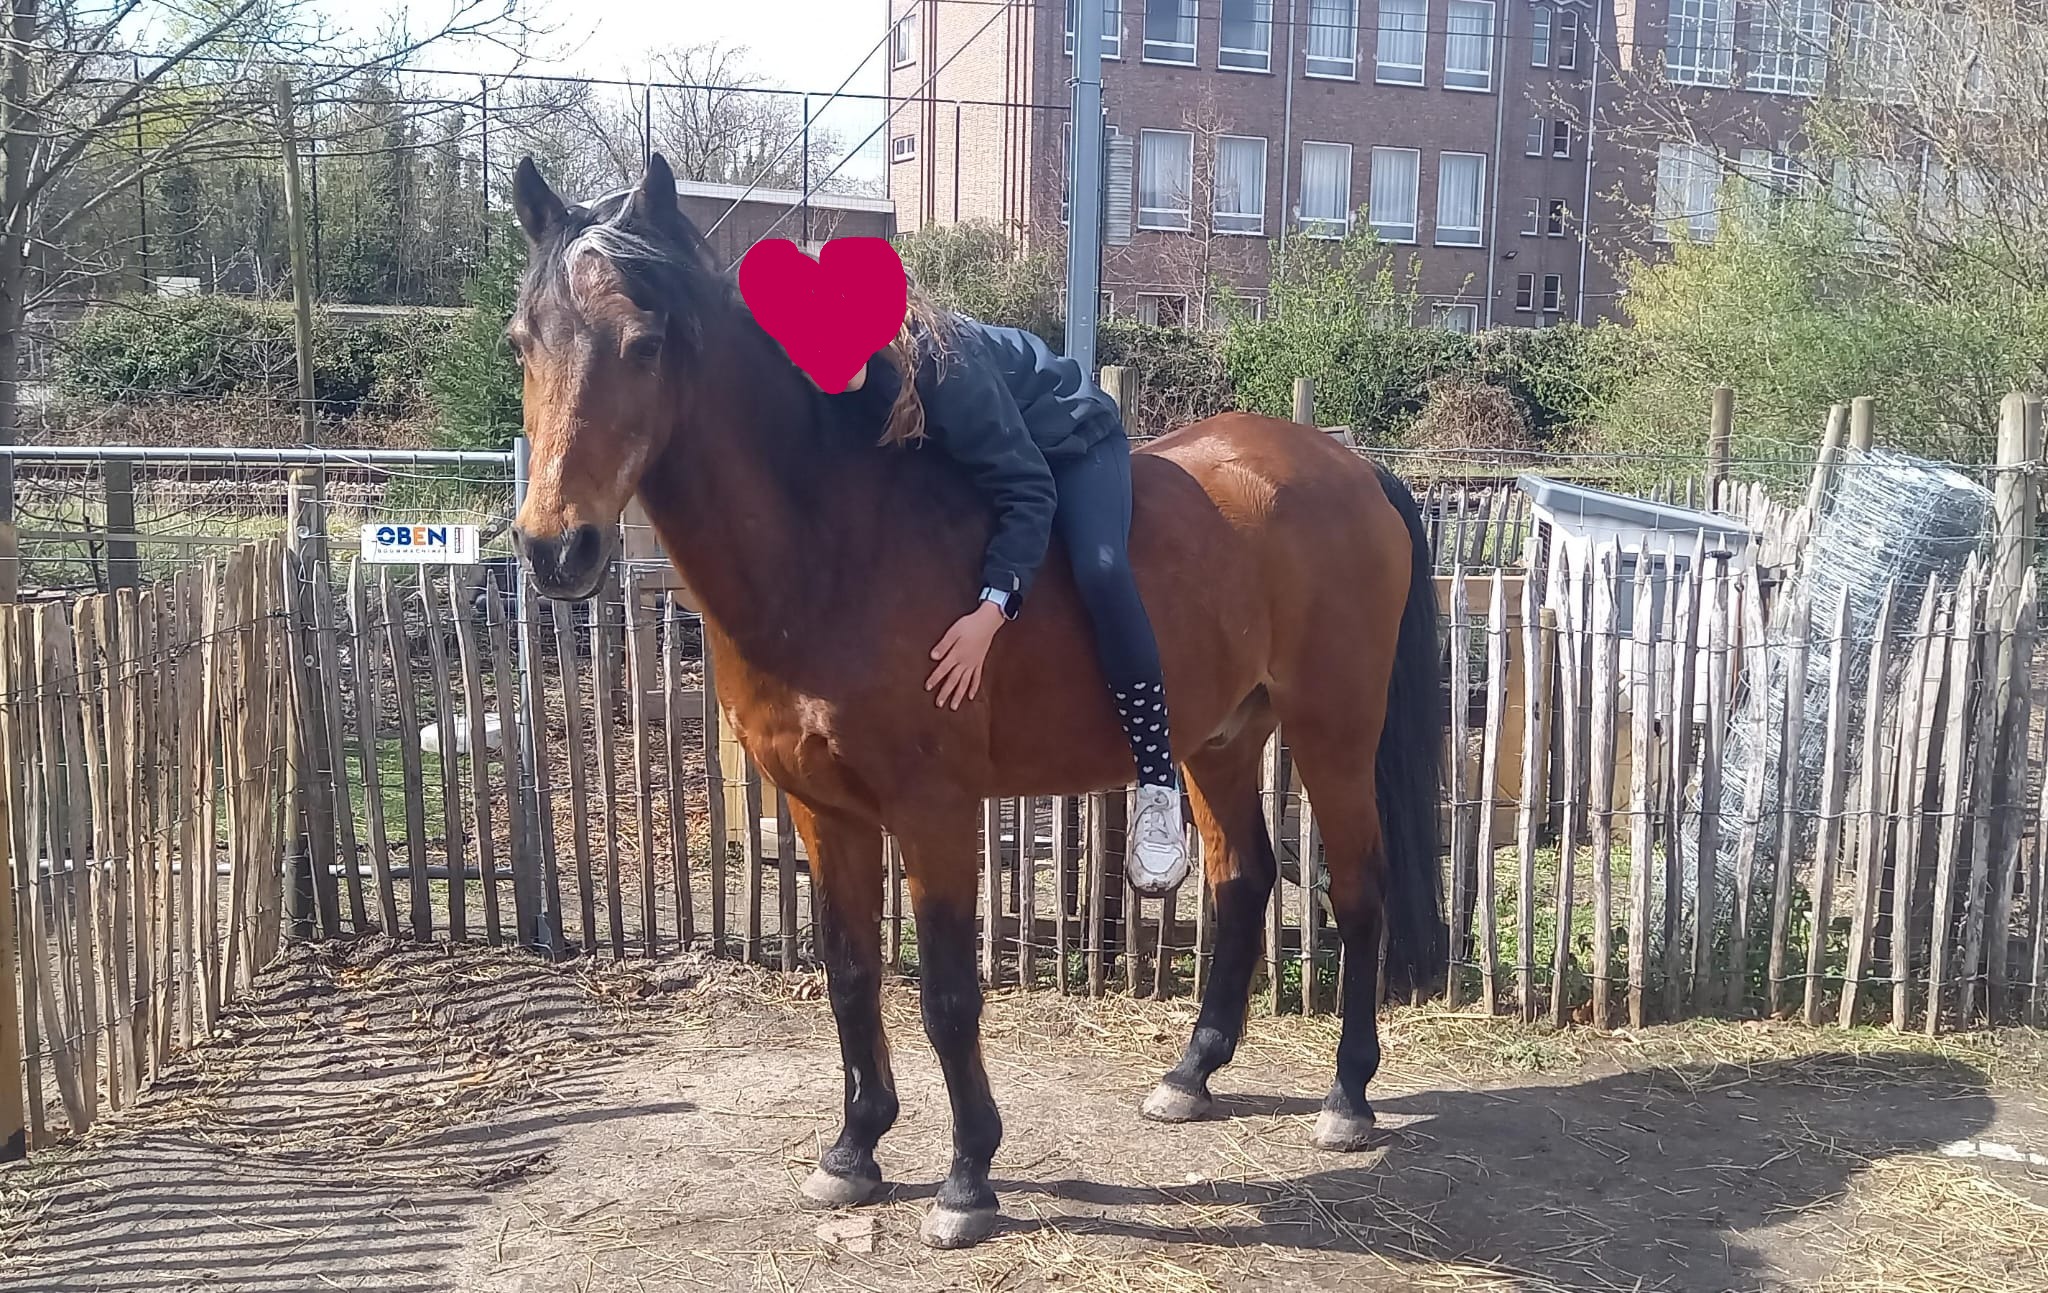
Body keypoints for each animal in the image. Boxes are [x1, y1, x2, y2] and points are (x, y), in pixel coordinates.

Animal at [506, 154, 1448, 1250]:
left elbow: (949, 995)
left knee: (1357, 893)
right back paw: (1191, 1072)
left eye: (646, 343)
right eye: (523, 341)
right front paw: (853, 1151)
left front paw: (965, 1180)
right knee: (1243, 881)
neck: (838, 538)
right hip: (1218, 738)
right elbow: (851, 975)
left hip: (1333, 734)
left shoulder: (934, 812)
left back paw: (1347, 1095)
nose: (553, 549)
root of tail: (1349, 466)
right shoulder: (824, 814)